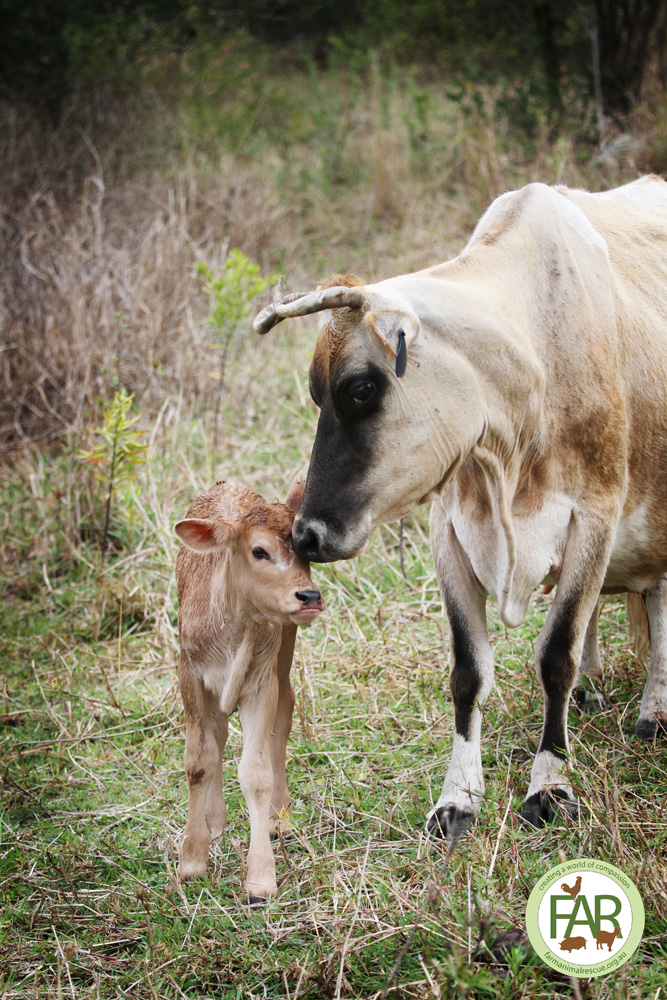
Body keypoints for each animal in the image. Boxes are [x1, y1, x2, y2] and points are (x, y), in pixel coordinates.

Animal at [175, 472, 324, 904]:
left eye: (306, 552)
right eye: (259, 551)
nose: (309, 596)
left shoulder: (261, 679)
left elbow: (256, 771)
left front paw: (260, 880)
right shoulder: (189, 672)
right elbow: (199, 759)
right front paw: (192, 859)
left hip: (286, 645)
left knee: (284, 711)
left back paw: (279, 817)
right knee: (219, 733)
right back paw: (215, 819)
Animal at [254, 178, 667, 836]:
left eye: (361, 389)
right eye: (317, 395)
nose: (307, 535)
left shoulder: (595, 519)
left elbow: (556, 653)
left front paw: (550, 784)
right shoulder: (448, 532)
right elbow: (469, 672)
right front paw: (457, 797)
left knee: (657, 601)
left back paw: (653, 711)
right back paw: (593, 692)